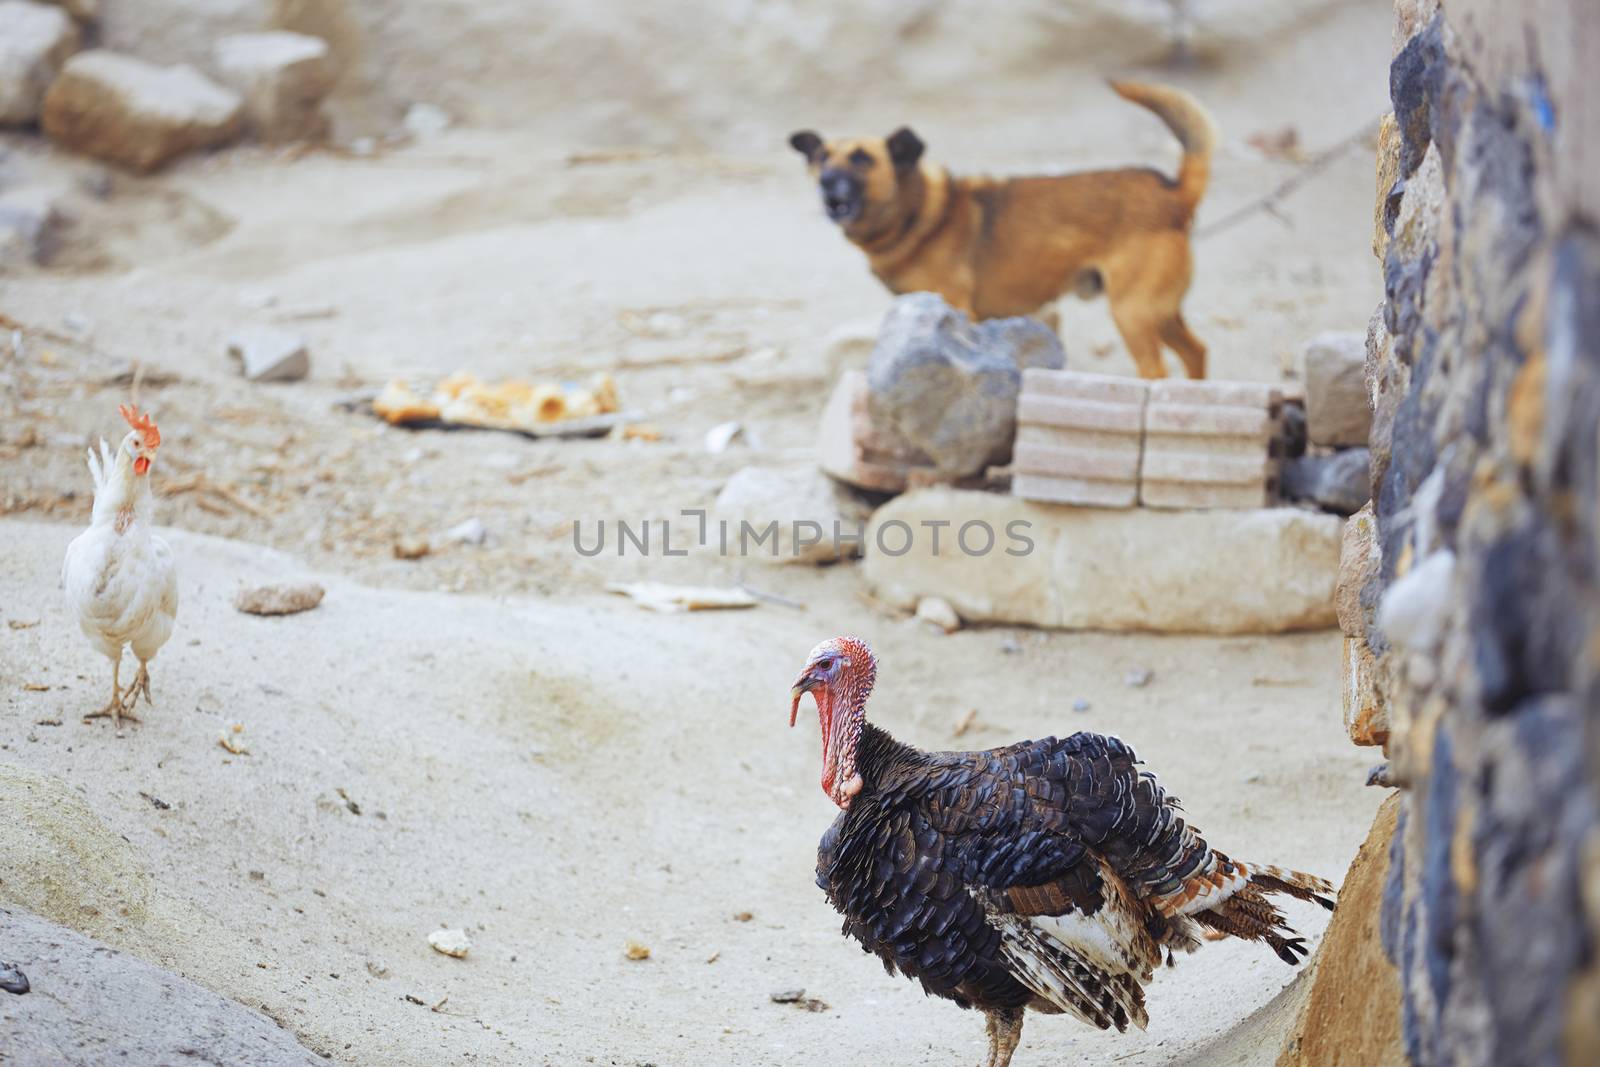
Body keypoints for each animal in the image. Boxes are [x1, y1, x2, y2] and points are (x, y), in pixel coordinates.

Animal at [793, 82, 1216, 379]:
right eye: (821, 157)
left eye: (862, 159)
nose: (826, 181)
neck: (921, 212)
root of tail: (1173, 192)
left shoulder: (957, 309)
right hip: (1160, 311)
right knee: (1197, 350)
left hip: (1132, 312)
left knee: (1155, 369)